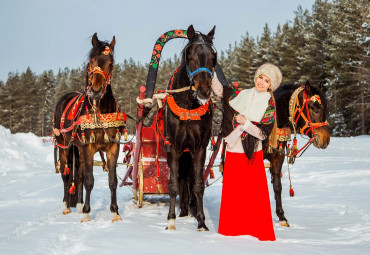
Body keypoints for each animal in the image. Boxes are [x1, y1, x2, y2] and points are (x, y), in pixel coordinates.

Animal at [52, 34, 124, 223]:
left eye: (110, 63)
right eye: (91, 60)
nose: (96, 90)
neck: (99, 112)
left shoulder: (113, 147)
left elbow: (112, 180)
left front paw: (115, 212)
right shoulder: (88, 147)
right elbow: (90, 181)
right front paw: (86, 213)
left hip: (79, 149)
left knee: (79, 176)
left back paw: (77, 204)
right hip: (65, 146)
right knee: (66, 176)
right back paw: (67, 206)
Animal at [162, 25, 217, 231]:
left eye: (213, 58)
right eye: (191, 56)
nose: (204, 90)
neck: (187, 106)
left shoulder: (199, 148)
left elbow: (198, 185)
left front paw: (201, 221)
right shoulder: (174, 148)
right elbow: (173, 185)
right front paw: (170, 220)